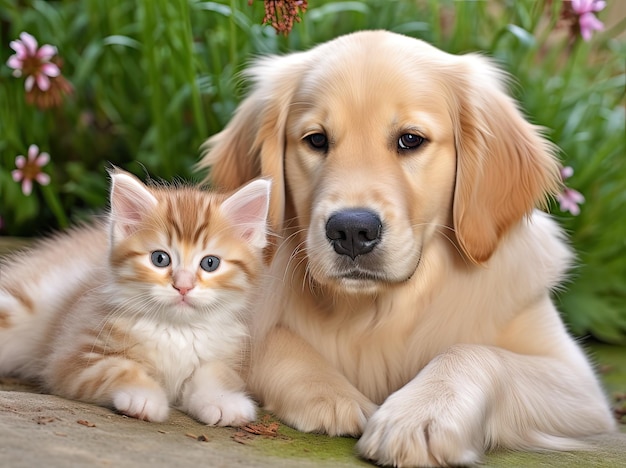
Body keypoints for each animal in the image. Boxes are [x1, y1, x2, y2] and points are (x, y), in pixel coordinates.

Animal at [0, 170, 268, 426]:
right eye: (160, 259)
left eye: (210, 263)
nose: (183, 286)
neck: (177, 330)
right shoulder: (73, 355)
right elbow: (119, 369)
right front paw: (145, 398)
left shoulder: (229, 355)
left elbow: (215, 372)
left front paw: (224, 401)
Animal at [197, 31, 612, 466]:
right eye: (316, 140)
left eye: (410, 140)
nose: (351, 230)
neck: (380, 308)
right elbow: (265, 339)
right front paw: (331, 393)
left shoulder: (579, 387)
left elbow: (475, 353)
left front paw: (419, 417)